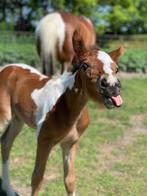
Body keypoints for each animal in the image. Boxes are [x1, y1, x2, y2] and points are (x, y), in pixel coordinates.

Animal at [0, 31, 124, 195]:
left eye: (116, 69)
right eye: (84, 65)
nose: (112, 87)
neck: (68, 108)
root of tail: (6, 68)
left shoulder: (71, 142)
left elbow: (69, 181)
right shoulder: (44, 140)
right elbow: (37, 178)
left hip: (17, 120)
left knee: (6, 144)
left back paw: (8, 189)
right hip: (4, 117)